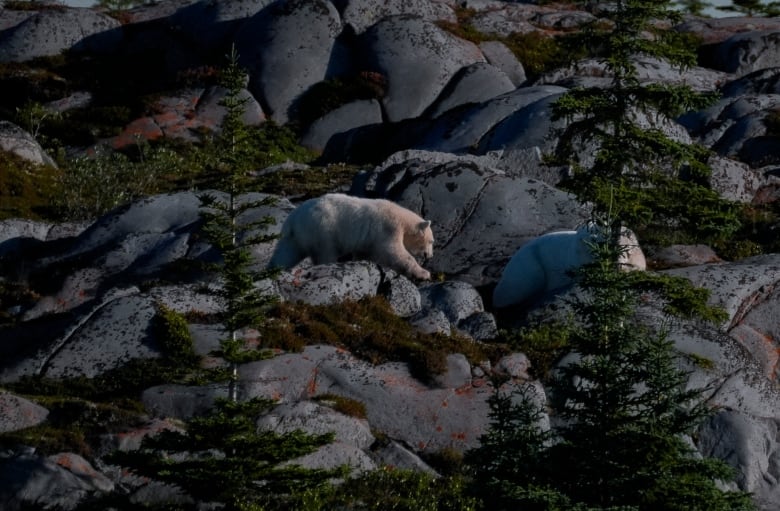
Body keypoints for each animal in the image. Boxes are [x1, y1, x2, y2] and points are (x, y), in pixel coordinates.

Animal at [268, 193, 436, 280]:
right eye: (431, 241)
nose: (430, 256)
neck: (402, 220)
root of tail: (293, 218)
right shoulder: (388, 228)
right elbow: (394, 251)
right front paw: (424, 273)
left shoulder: (367, 240)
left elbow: (364, 252)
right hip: (323, 228)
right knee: (326, 252)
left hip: (295, 236)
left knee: (286, 252)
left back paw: (273, 268)